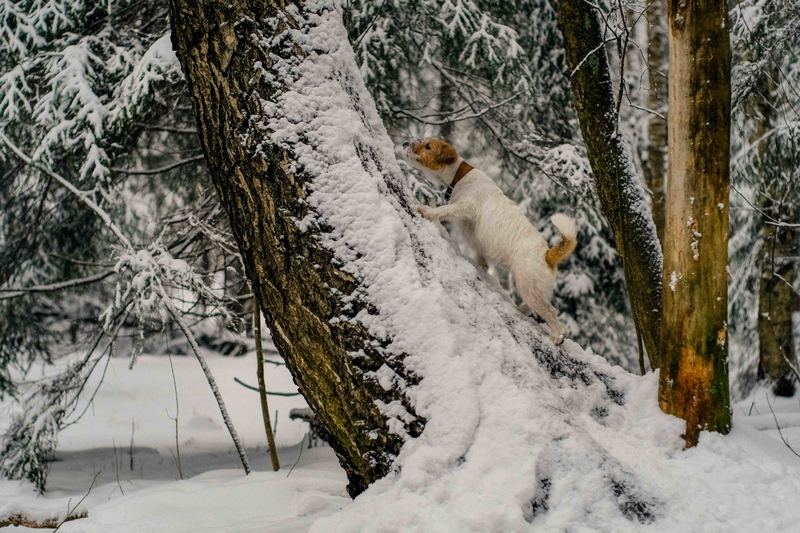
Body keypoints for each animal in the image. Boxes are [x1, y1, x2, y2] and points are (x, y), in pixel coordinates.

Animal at [406, 138, 576, 344]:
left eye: (428, 146)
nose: (405, 143)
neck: (459, 176)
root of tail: (547, 254)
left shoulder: (465, 207)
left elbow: (445, 210)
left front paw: (427, 211)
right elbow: (480, 259)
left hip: (529, 285)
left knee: (551, 312)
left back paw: (557, 337)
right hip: (535, 289)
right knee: (534, 306)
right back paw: (521, 310)